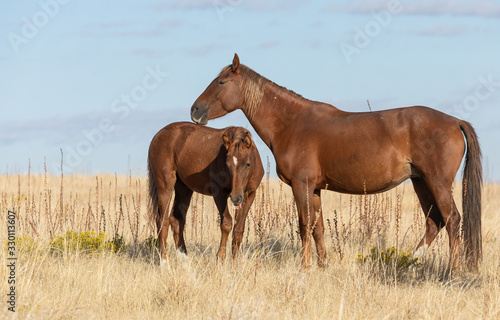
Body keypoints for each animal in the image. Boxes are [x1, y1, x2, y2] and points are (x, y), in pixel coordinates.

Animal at [148, 121, 266, 264]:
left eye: (248, 164)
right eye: (228, 165)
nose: (236, 198)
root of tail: (158, 135)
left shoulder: (249, 195)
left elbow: (238, 229)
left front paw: (234, 264)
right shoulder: (219, 194)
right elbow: (226, 223)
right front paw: (220, 259)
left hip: (184, 188)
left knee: (176, 220)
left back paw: (185, 262)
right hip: (165, 184)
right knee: (162, 221)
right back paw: (165, 263)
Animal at [189, 53, 482, 272]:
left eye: (222, 82)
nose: (195, 110)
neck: (292, 123)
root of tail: (454, 121)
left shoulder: (302, 184)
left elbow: (304, 225)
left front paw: (305, 267)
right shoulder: (315, 188)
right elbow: (317, 228)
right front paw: (322, 265)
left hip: (437, 182)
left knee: (452, 219)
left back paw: (452, 271)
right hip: (421, 181)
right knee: (435, 222)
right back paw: (408, 262)